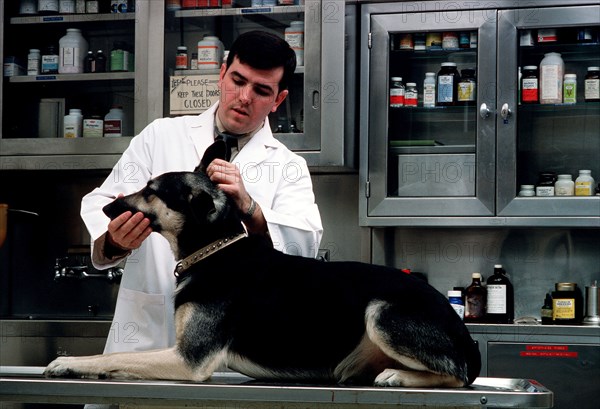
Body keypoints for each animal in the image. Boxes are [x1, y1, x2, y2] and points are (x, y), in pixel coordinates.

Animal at [44, 142, 480, 388]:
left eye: (152, 192)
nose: (105, 209)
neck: (216, 249)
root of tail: (467, 338)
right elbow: (114, 360)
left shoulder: (188, 359)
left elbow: (112, 357)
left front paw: (67, 362)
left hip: (381, 312)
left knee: (457, 376)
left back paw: (401, 375)